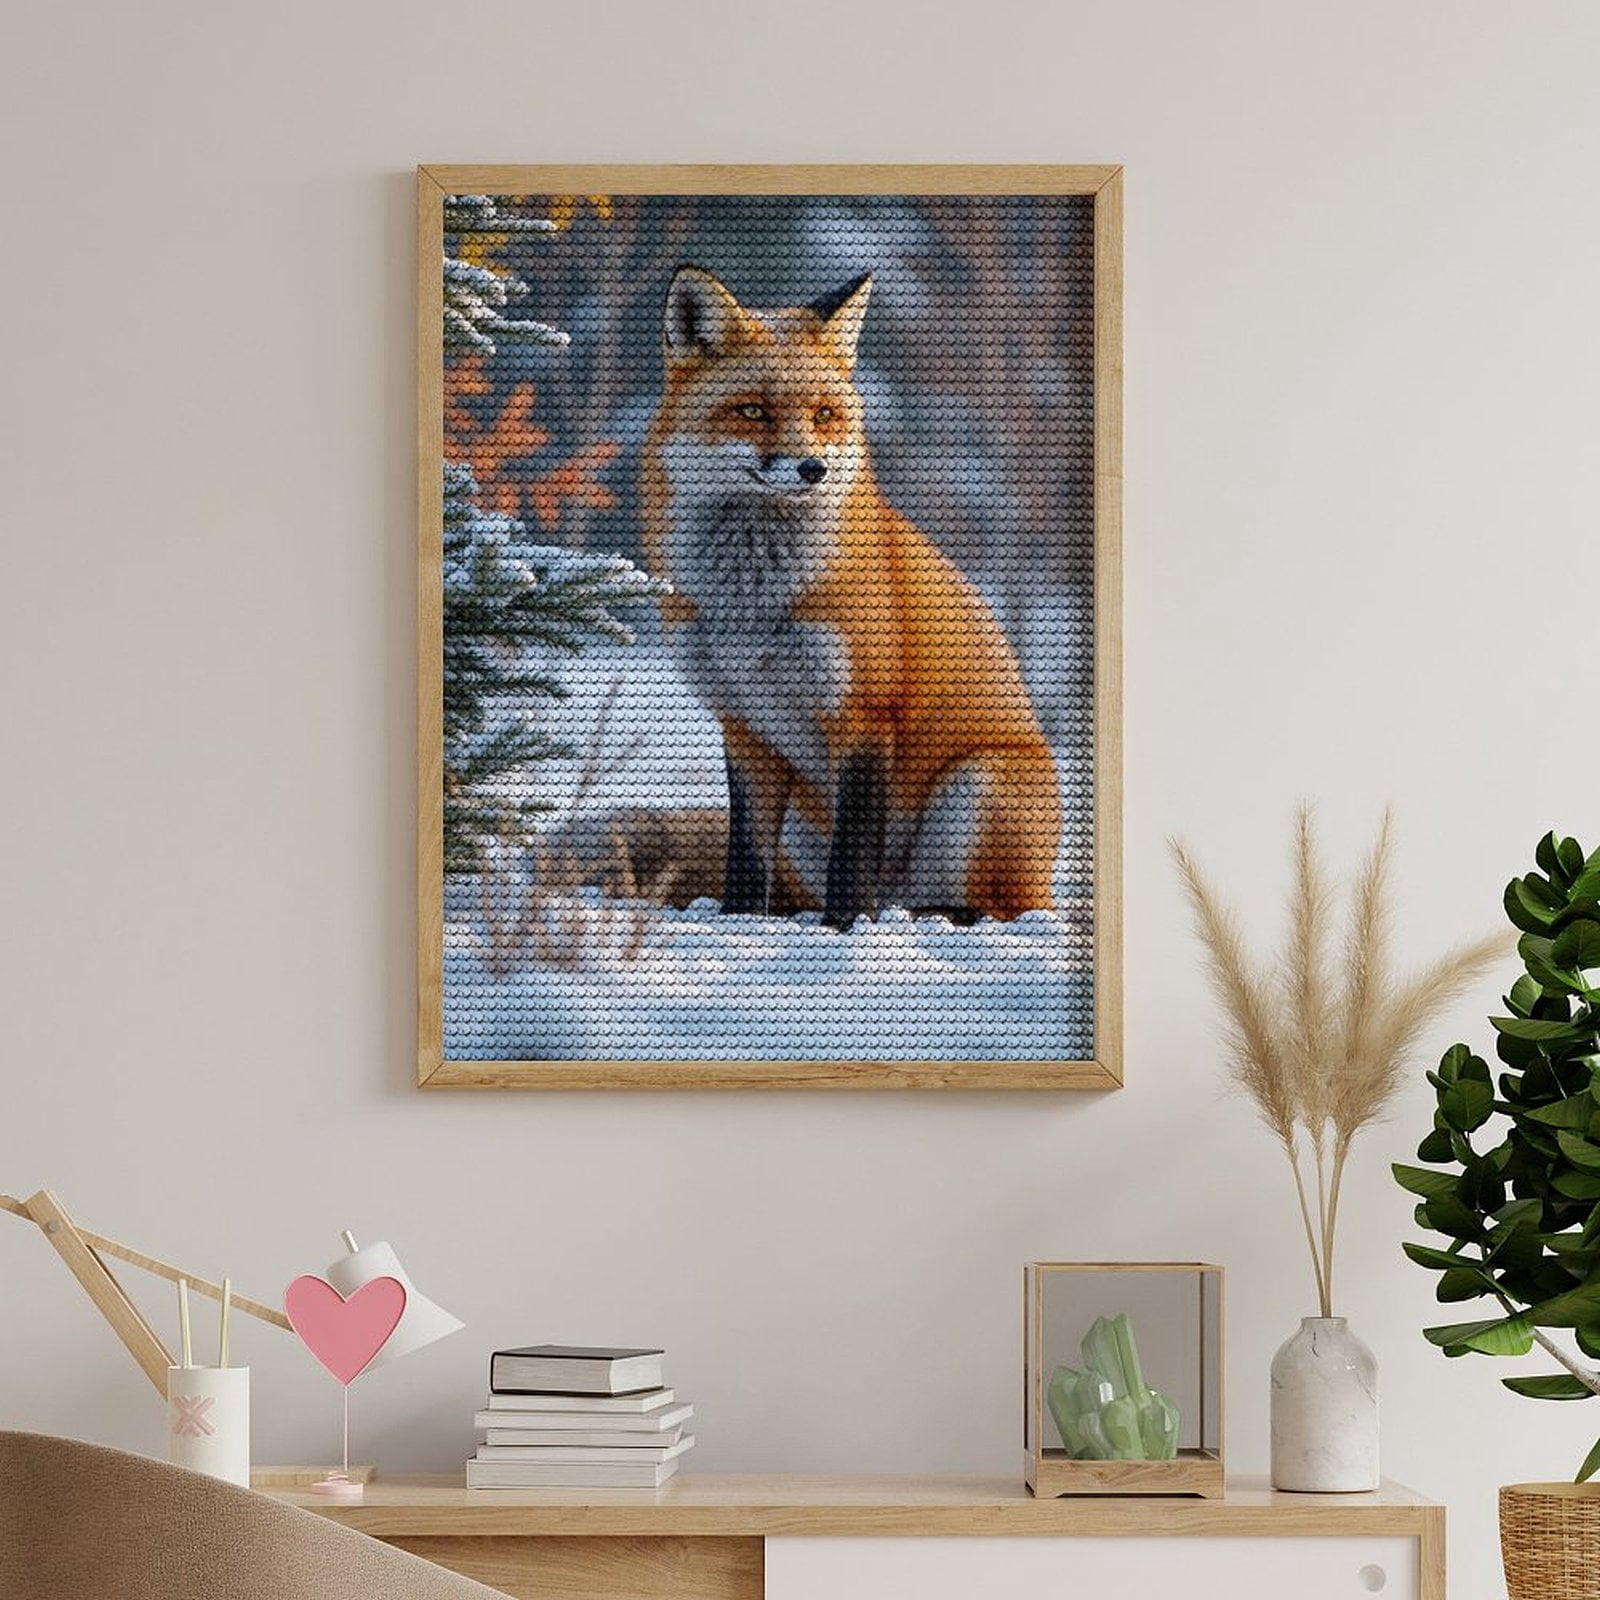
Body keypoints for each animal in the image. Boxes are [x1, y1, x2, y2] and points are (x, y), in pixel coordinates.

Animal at [641, 264, 1062, 929]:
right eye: (753, 411)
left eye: (824, 414)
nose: (812, 468)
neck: (751, 599)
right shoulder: (745, 725)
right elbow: (746, 858)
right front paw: (740, 925)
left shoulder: (862, 713)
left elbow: (854, 852)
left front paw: (844, 931)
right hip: (804, 824)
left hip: (976, 787)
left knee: (996, 911)